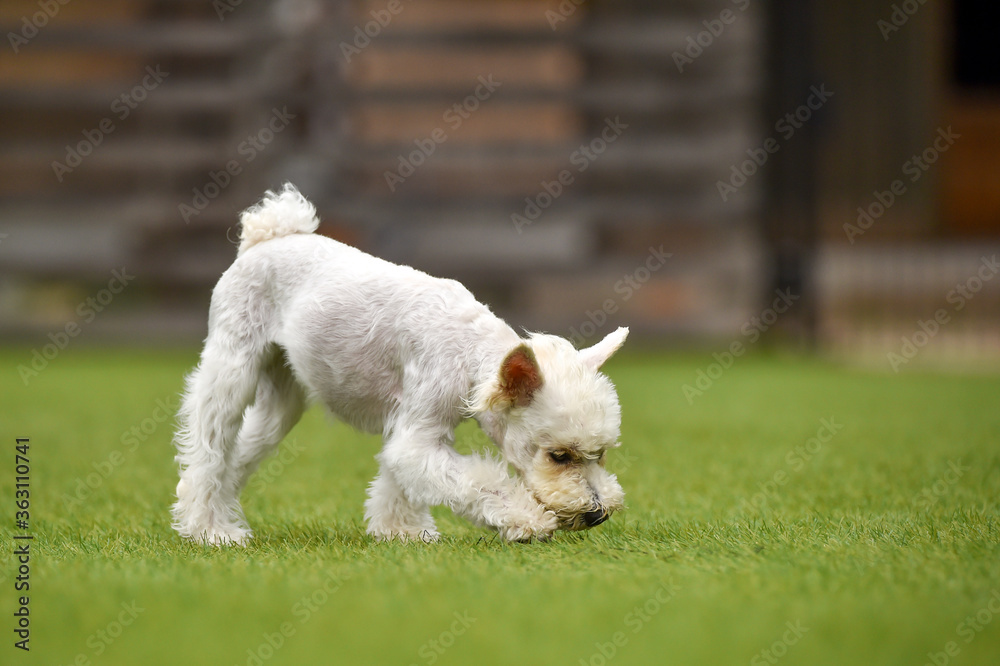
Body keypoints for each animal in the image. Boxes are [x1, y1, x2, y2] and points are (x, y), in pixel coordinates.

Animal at [171, 184, 628, 544]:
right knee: (208, 452)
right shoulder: (420, 431)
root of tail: (265, 238)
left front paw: (400, 531)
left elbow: (398, 477)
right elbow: (475, 481)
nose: (596, 513)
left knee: (235, 456)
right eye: (558, 456)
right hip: (231, 371)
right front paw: (528, 520)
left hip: (279, 405)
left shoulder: (410, 426)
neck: (472, 352)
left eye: (601, 454)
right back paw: (210, 530)